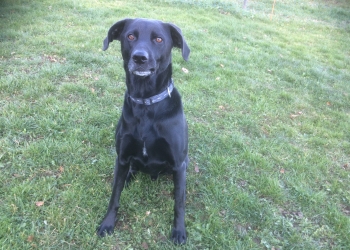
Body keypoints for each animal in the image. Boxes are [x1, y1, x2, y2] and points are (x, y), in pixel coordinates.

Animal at [97, 18, 190, 245]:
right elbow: (114, 195)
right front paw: (107, 223)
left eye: (159, 39)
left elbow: (179, 203)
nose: (139, 57)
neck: (146, 103)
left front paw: (179, 231)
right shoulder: (122, 157)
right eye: (130, 36)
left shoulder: (179, 164)